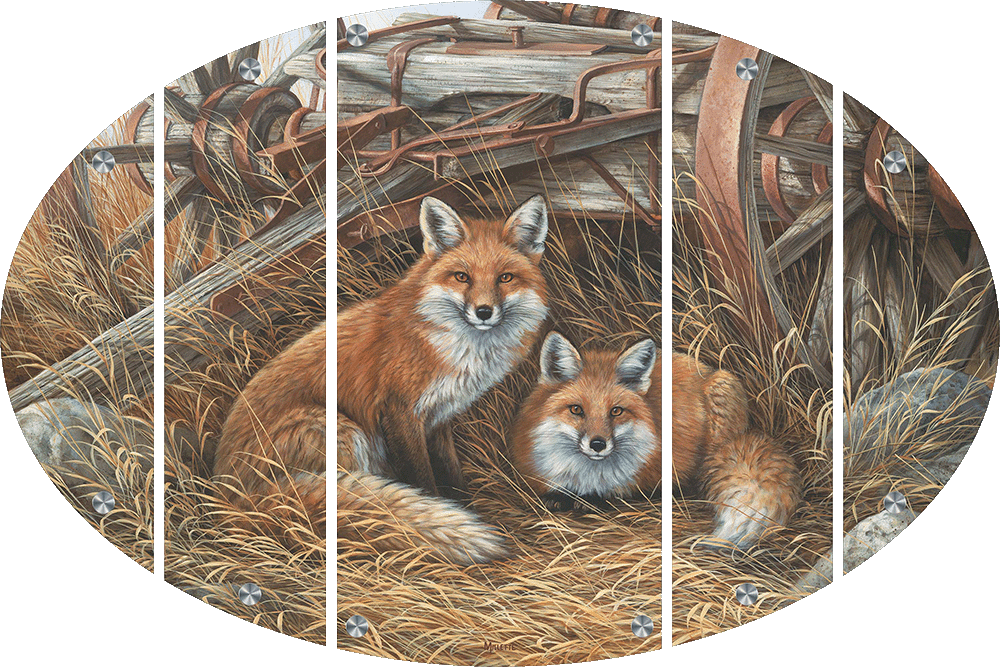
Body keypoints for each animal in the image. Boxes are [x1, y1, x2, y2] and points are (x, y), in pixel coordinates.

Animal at [337, 194, 550, 564]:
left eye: (505, 278)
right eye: (462, 277)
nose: (483, 312)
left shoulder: (437, 416)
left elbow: (451, 470)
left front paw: (465, 507)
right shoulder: (401, 412)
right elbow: (423, 479)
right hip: (347, 432)